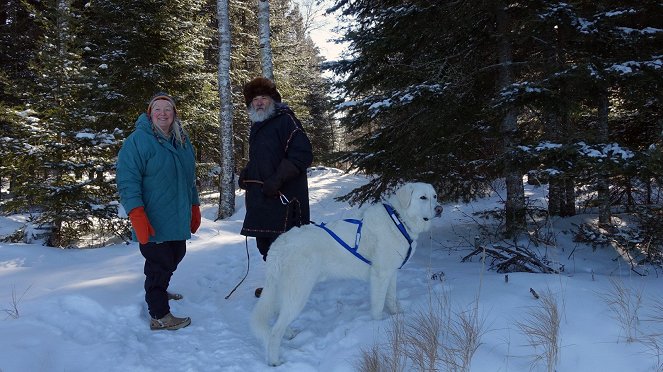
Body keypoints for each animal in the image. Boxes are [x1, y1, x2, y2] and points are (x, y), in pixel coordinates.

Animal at [252, 182, 444, 364]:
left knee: (277, 316)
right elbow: (378, 306)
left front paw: (396, 316)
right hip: (298, 293)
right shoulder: (380, 276)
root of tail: (279, 244)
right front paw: (377, 327)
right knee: (275, 330)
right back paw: (274, 360)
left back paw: (289, 333)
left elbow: (391, 299)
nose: (439, 209)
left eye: (434, 196)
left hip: (284, 291)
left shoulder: (391, 273)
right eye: (422, 197)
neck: (399, 220)